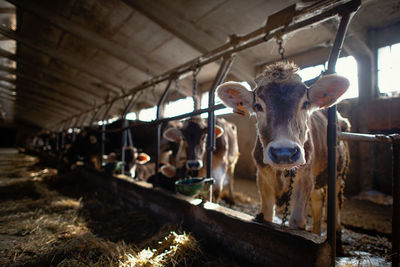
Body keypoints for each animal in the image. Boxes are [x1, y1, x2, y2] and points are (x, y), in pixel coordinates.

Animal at [216, 62, 350, 237]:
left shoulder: (306, 177)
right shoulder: (262, 176)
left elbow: (297, 221)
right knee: (317, 202)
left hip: (339, 175)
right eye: (258, 106)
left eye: (305, 104)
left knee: (336, 208)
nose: (284, 153)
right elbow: (266, 215)